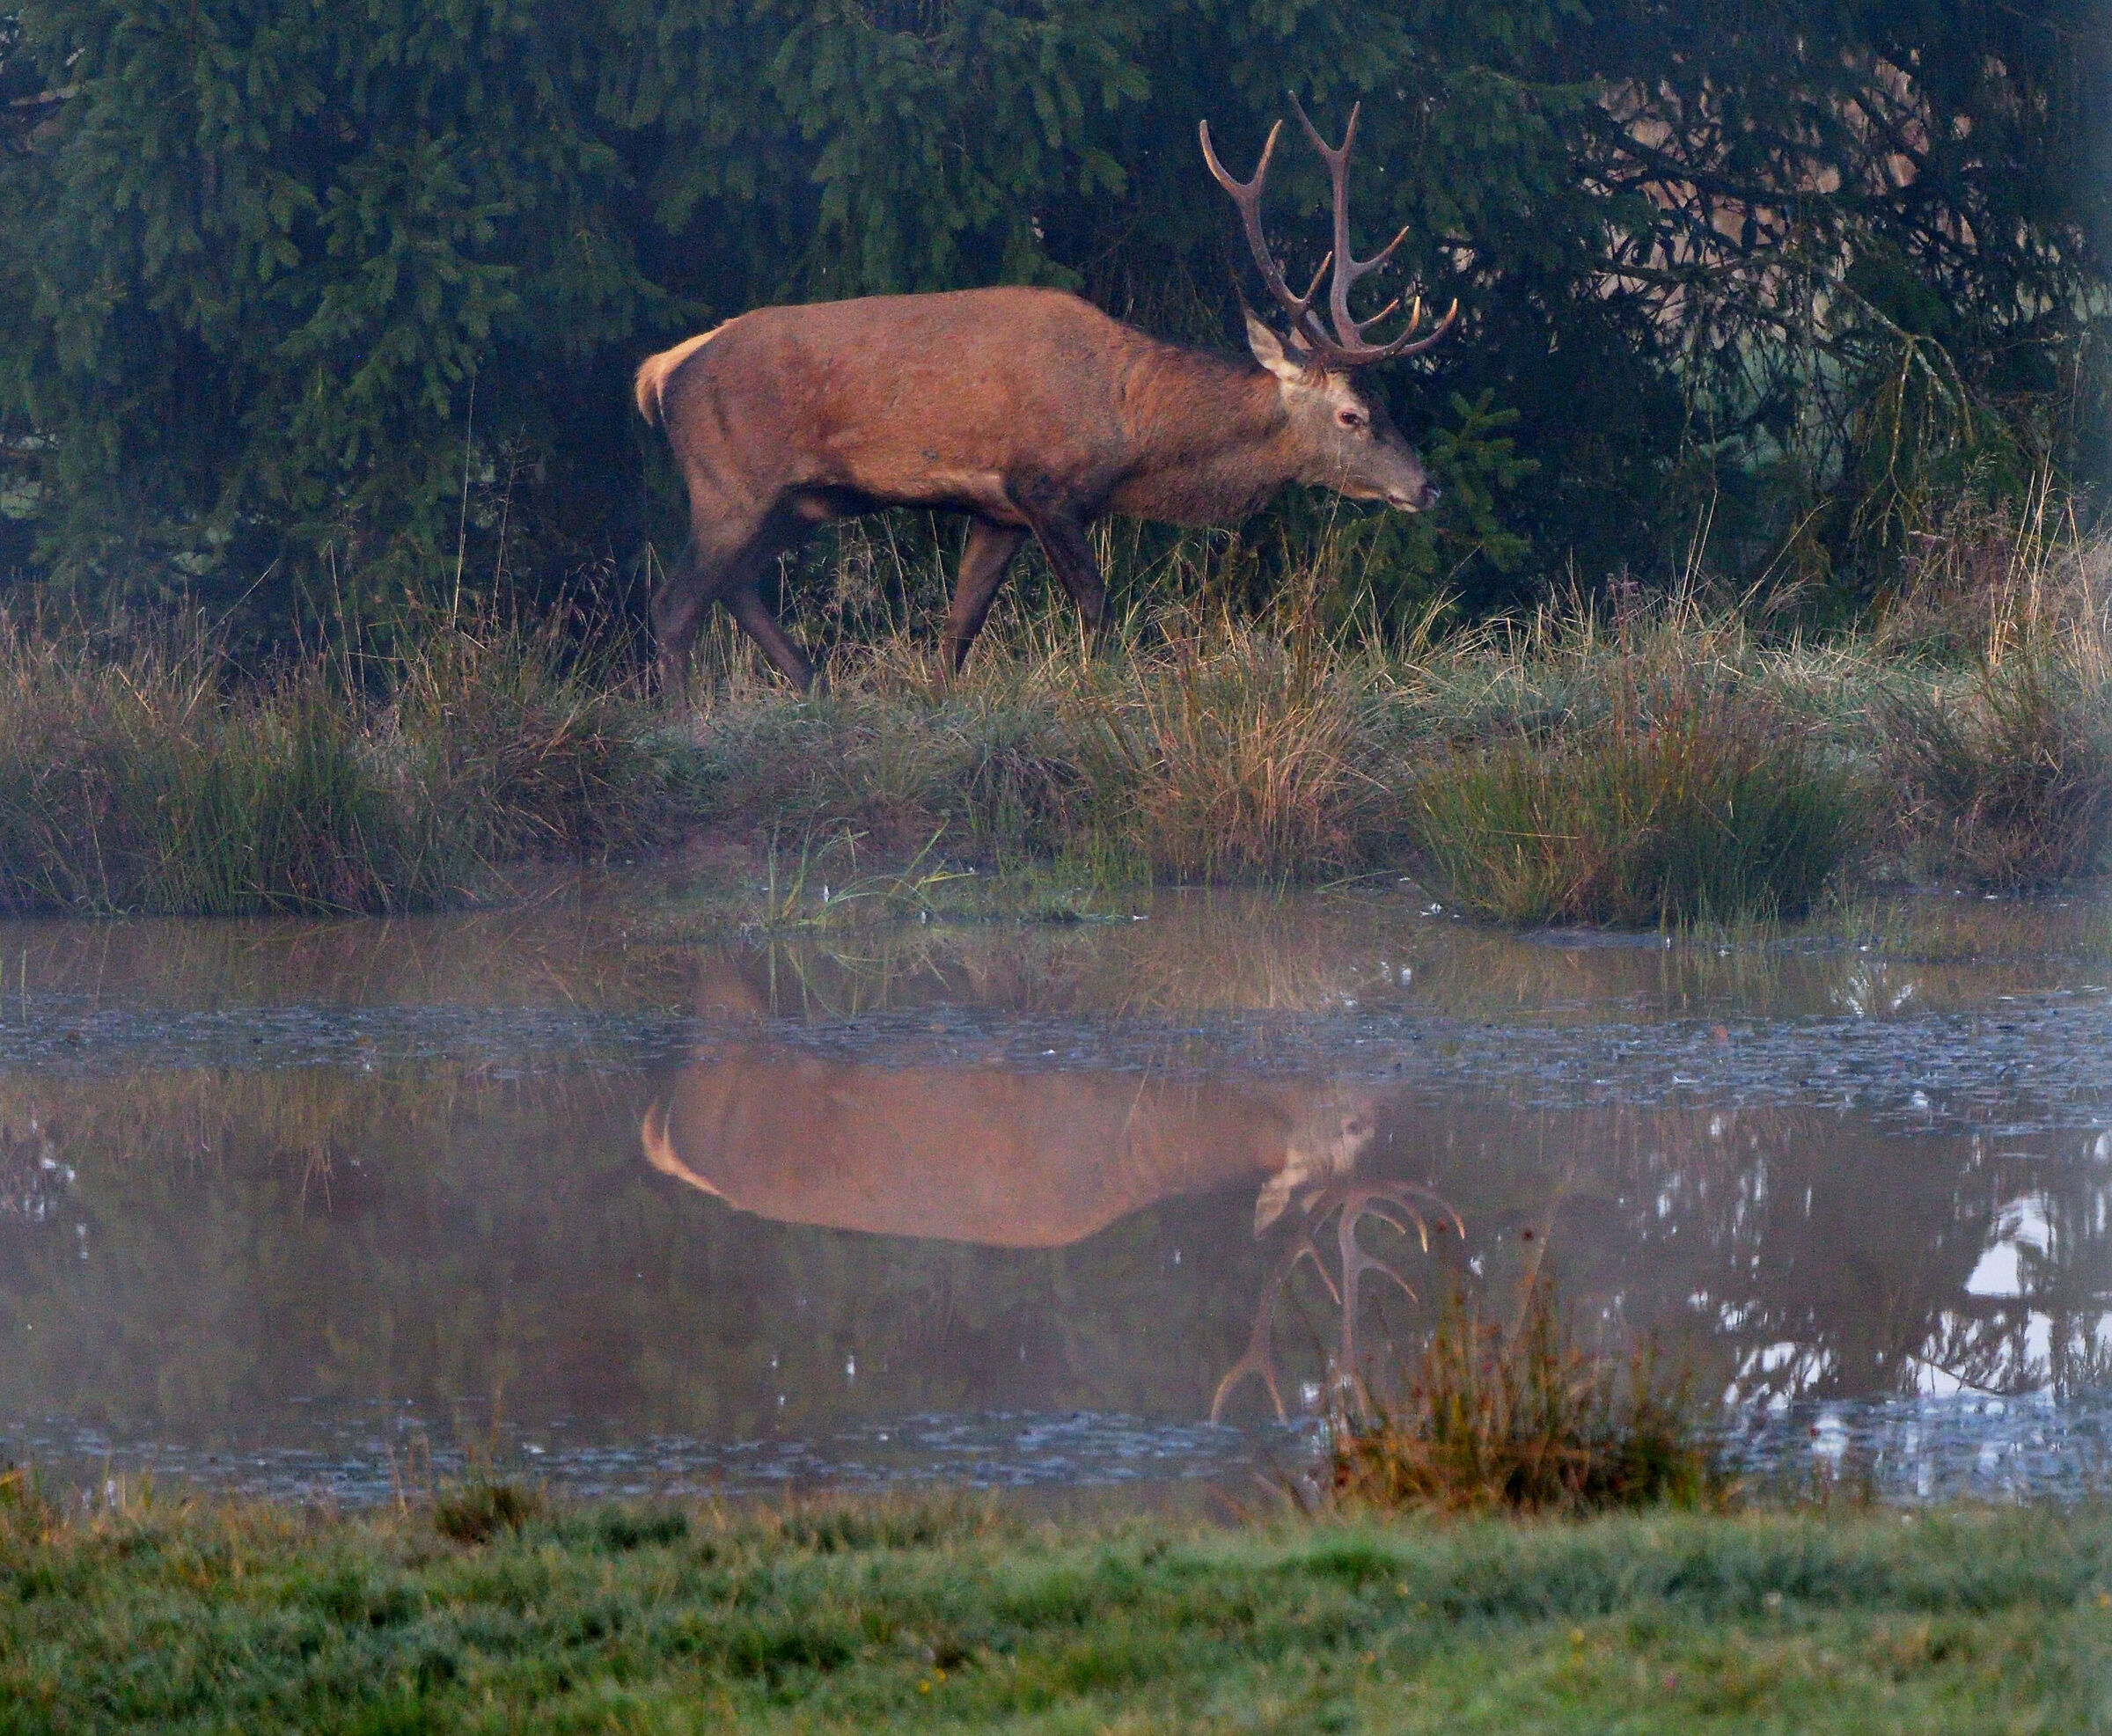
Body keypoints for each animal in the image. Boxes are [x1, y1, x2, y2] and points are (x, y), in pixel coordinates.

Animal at [633, 101, 1458, 691]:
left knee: (734, 588)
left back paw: (813, 685)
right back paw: (687, 720)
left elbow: (959, 627)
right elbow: (1096, 606)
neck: (1130, 427)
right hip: (729, 482)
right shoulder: (1044, 486)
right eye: (1353, 415)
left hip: (802, 499)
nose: (1426, 486)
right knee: (673, 607)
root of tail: (661, 371)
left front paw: (942, 701)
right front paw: (1101, 697)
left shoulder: (998, 511)